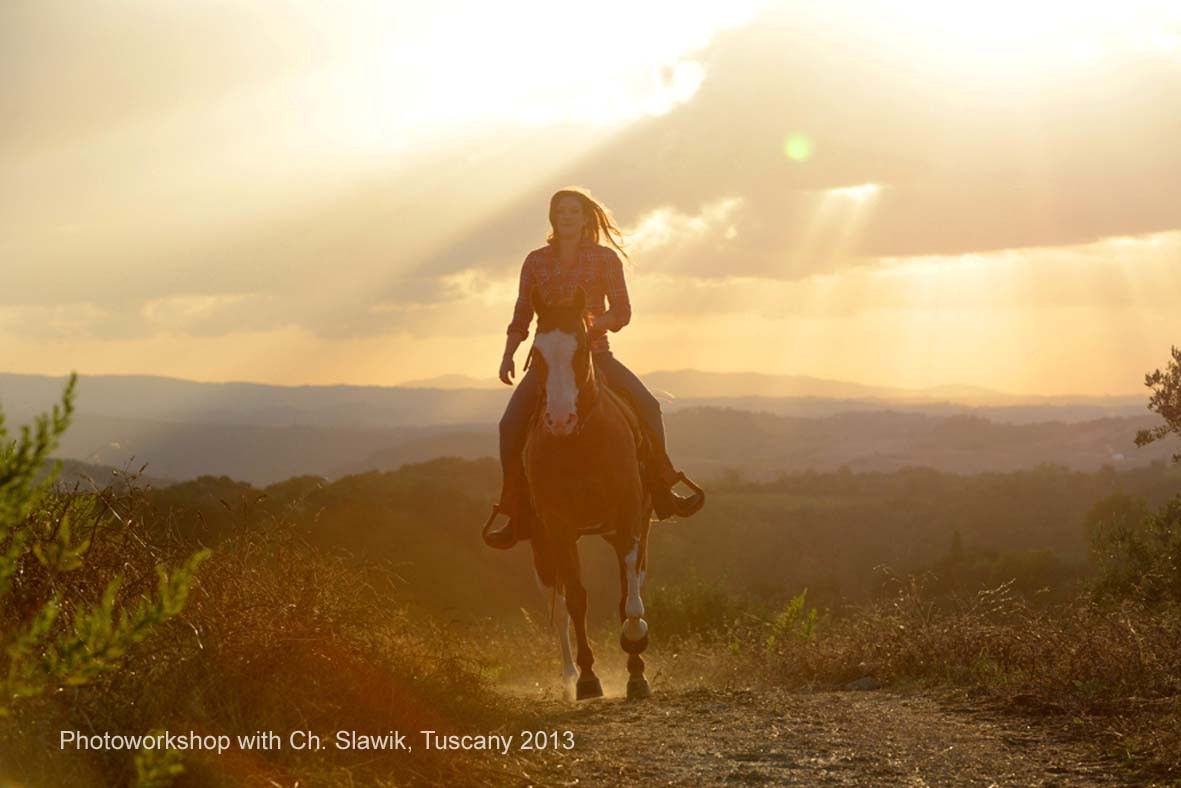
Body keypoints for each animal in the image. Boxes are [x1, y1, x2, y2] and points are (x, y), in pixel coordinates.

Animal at [526, 284, 656, 704]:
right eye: (536, 354)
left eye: (581, 349)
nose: (560, 420)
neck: (580, 445)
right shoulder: (559, 529)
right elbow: (577, 600)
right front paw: (586, 678)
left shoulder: (629, 519)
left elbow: (629, 596)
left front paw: (636, 659)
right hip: (542, 549)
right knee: (560, 608)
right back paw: (569, 676)